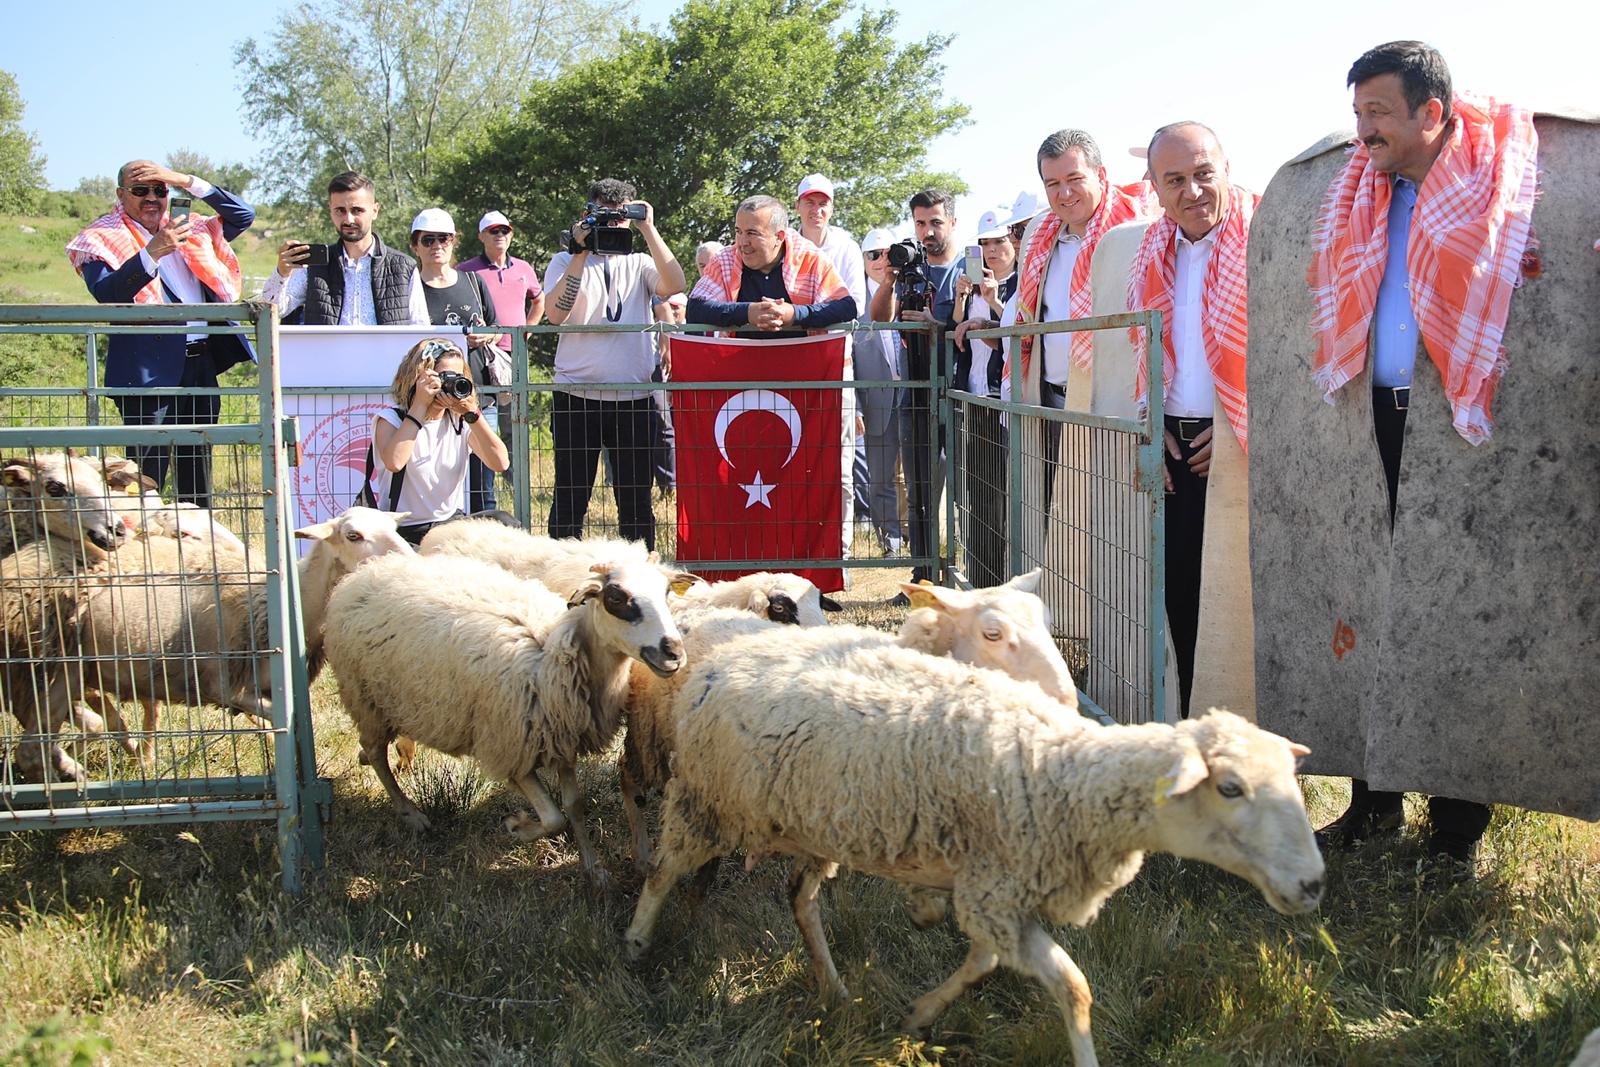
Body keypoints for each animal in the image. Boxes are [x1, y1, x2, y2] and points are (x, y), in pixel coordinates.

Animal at [321, 547, 691, 889]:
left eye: (666, 592)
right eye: (616, 597)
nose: (673, 652)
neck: (555, 654)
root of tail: (363, 573)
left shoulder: (562, 741)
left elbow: (574, 805)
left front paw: (594, 870)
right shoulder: (510, 748)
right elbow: (554, 818)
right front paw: (518, 827)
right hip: (365, 697)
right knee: (376, 753)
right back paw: (411, 814)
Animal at [617, 566, 1081, 876]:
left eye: (1047, 624)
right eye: (992, 633)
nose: (1067, 700)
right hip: (649, 735)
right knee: (631, 785)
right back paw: (643, 856)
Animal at [624, 620, 1324, 1062]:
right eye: (1229, 787)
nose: (1313, 883)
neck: (1062, 771)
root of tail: (715, 662)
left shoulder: (998, 895)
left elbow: (1000, 967)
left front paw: (920, 1010)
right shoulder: (995, 892)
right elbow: (1071, 987)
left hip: (814, 823)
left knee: (800, 898)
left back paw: (834, 988)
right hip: (704, 804)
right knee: (661, 873)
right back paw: (635, 944)